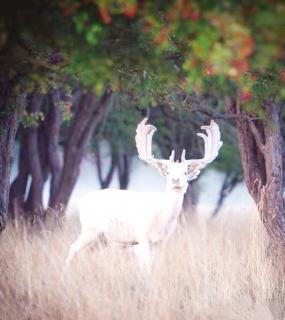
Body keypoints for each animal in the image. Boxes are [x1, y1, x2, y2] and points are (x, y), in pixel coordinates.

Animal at [66, 117, 222, 268]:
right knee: (72, 248)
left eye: (185, 172)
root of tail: (82, 201)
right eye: (168, 172)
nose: (175, 180)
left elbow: (156, 264)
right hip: (90, 229)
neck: (162, 218)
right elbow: (146, 264)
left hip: (101, 237)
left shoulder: (161, 240)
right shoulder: (142, 235)